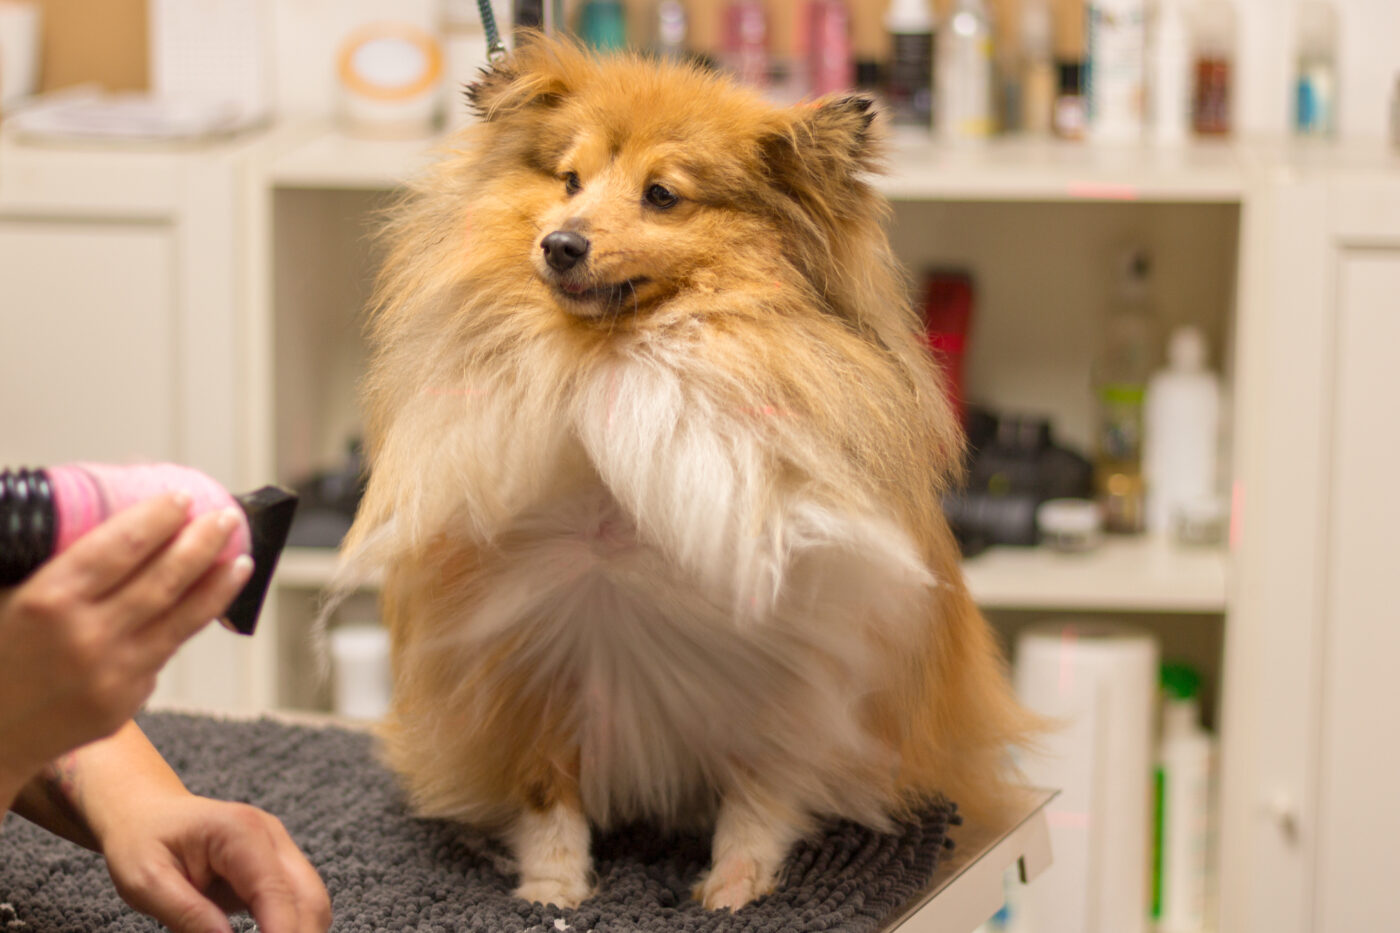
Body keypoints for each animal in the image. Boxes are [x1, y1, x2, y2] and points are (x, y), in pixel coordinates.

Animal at [336, 38, 1041, 907]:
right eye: (569, 180)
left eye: (662, 195)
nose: (560, 243)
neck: (616, 360)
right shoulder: (528, 655)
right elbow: (547, 794)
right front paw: (551, 890)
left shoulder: (792, 663)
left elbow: (761, 793)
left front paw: (736, 885)